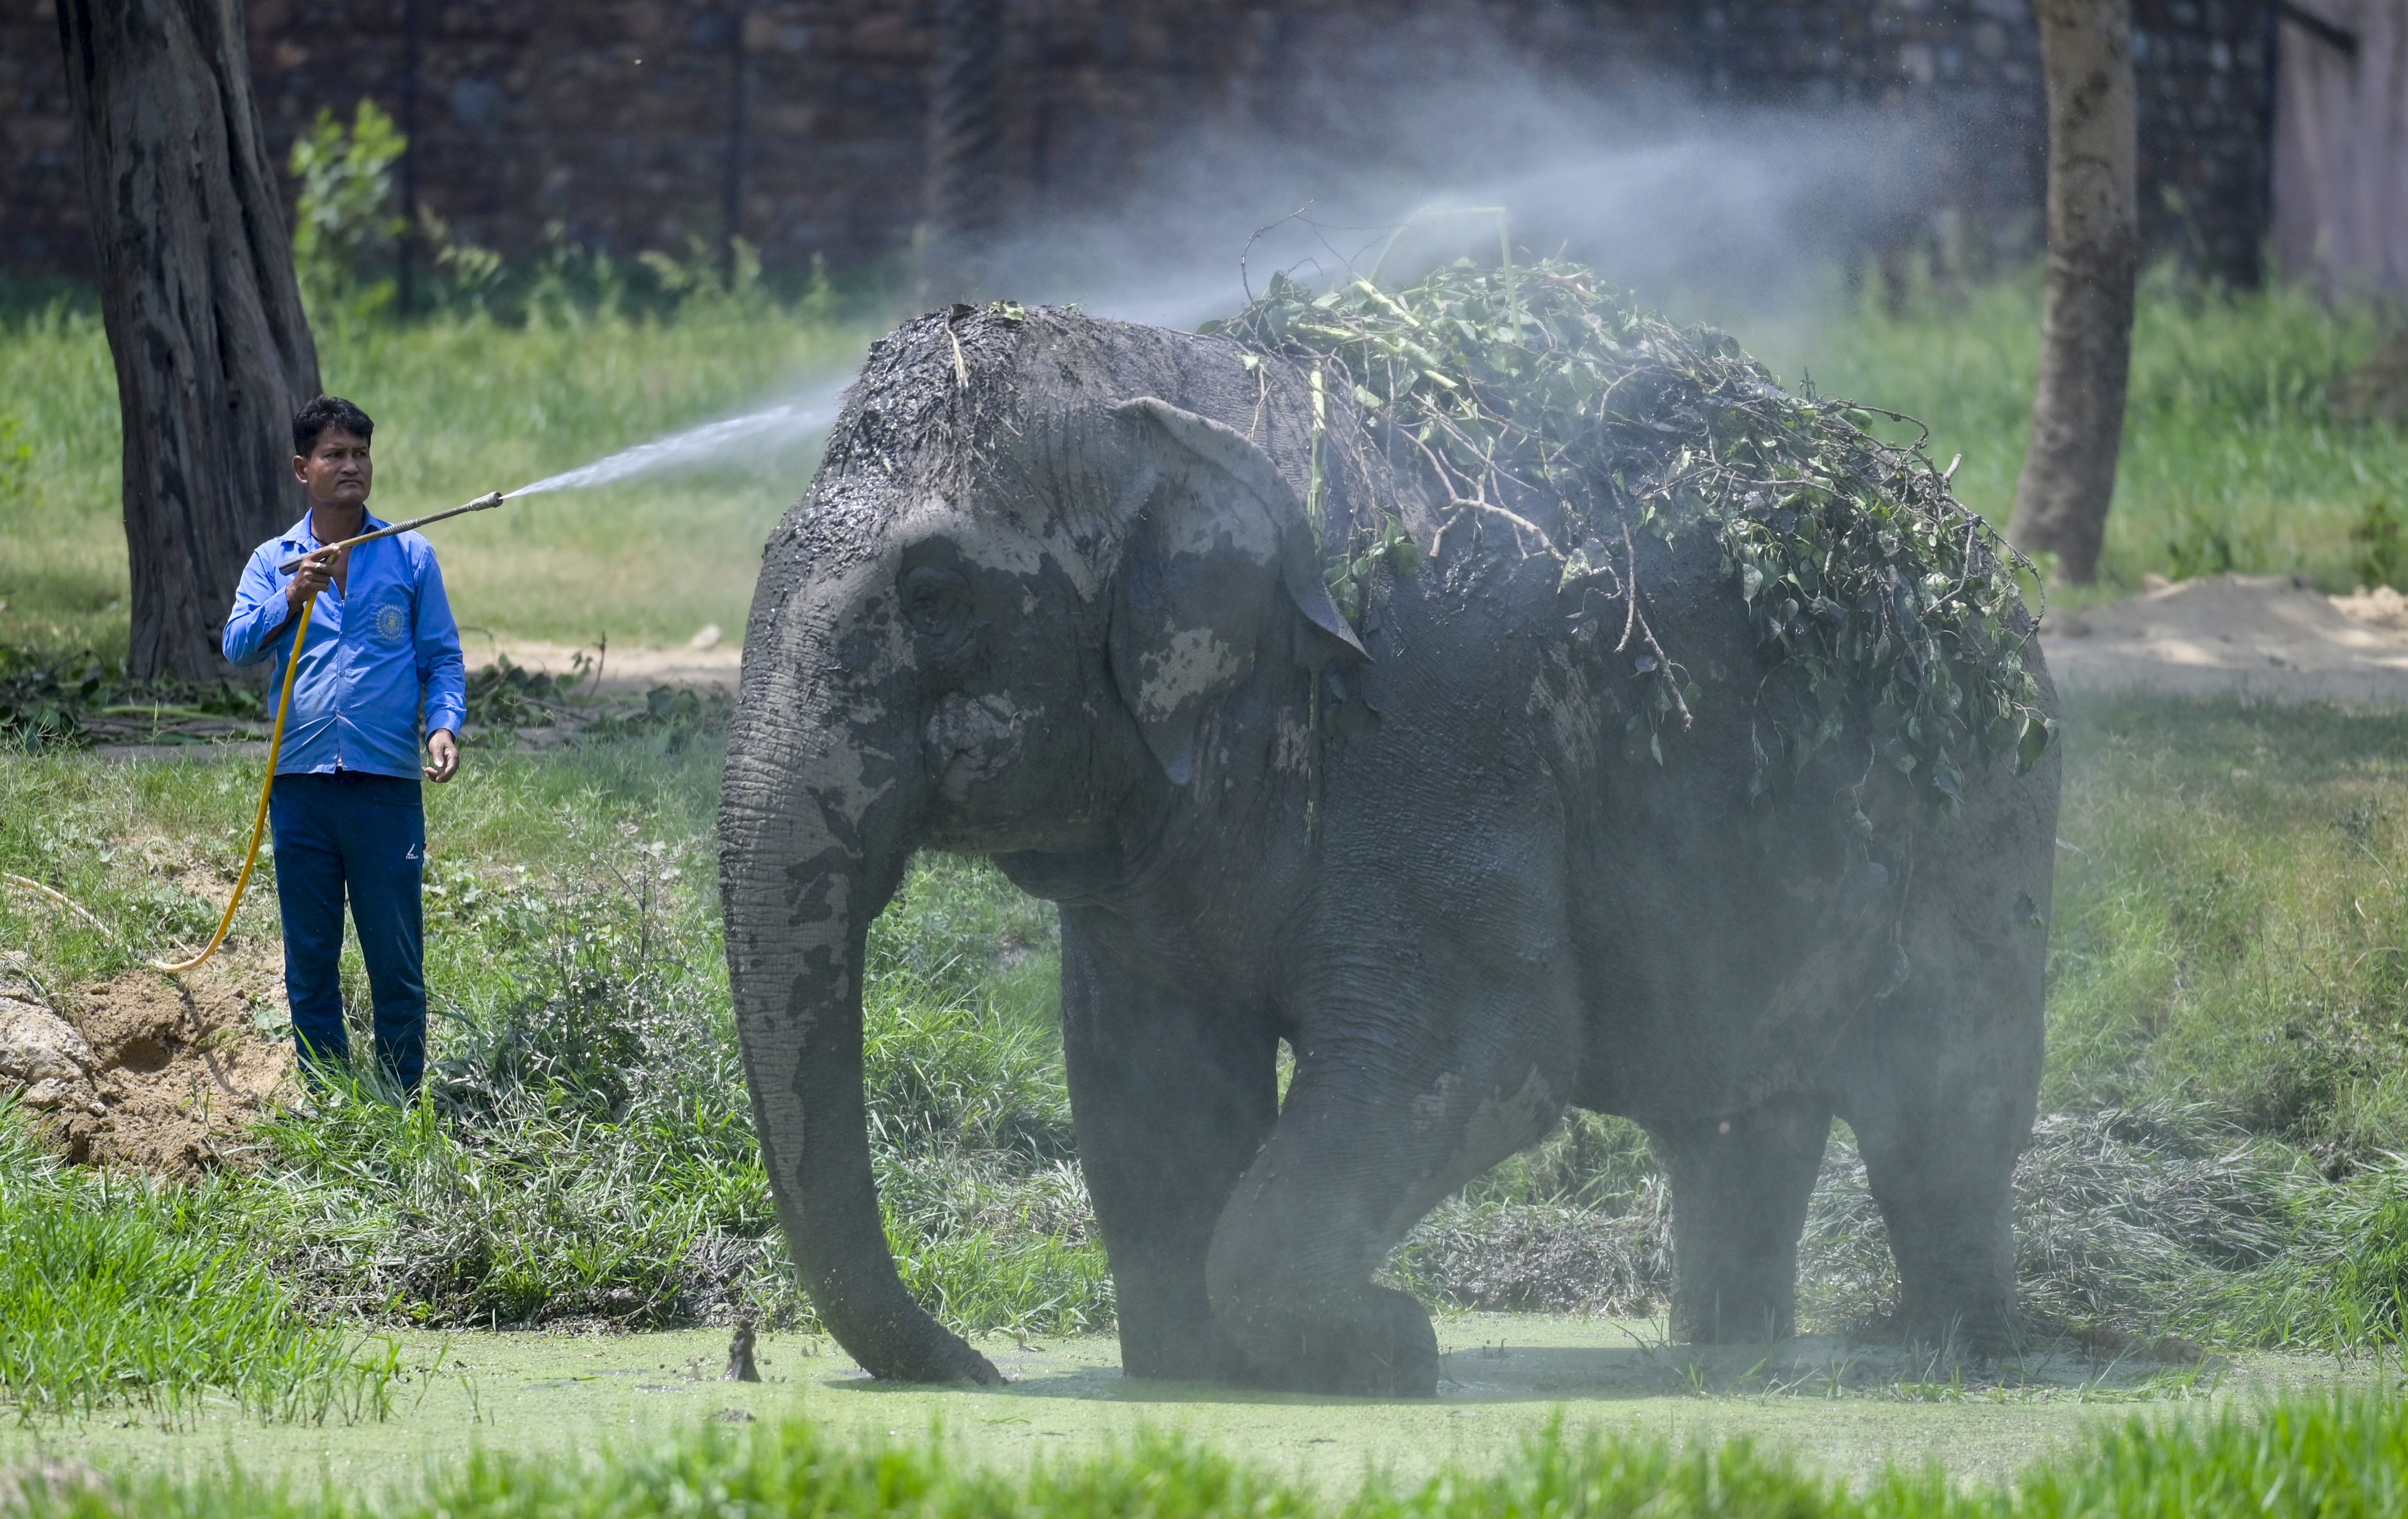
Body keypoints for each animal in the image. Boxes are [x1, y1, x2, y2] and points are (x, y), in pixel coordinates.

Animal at [717, 303, 2059, 1397]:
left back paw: (1956, 1353)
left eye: (936, 594)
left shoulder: (1433, 724)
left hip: (1988, 823)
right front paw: (1206, 1373)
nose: (975, 1366)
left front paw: (1395, 1348)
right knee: (1737, 1123)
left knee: (1943, 1101)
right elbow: (1145, 1078)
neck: (1176, 385)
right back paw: (1729, 1353)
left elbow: (1487, 1047)